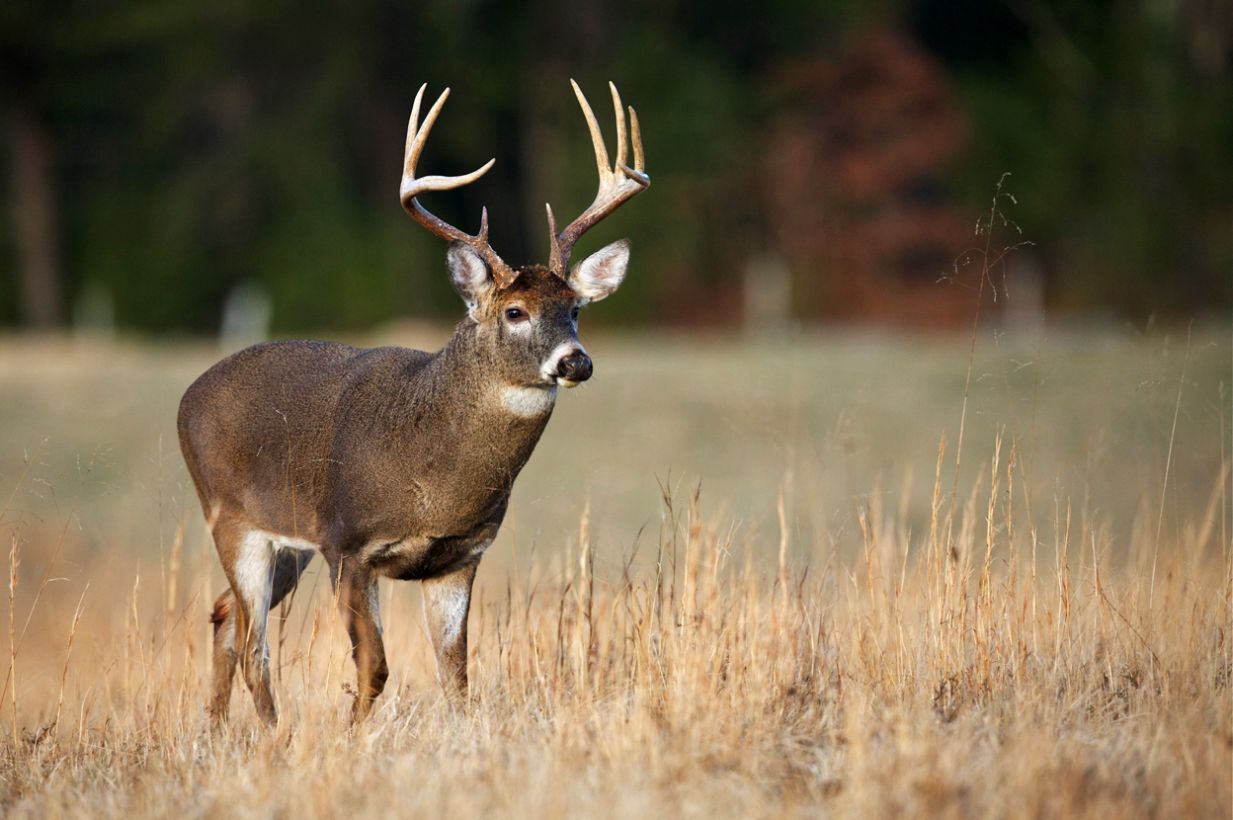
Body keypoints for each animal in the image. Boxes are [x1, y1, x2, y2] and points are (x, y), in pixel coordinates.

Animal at [177, 81, 651, 725]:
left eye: (575, 309)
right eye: (515, 311)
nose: (575, 362)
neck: (433, 480)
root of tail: (188, 397)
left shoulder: (459, 557)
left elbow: (457, 678)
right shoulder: (349, 544)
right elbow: (374, 667)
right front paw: (352, 736)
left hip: (286, 546)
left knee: (226, 615)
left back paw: (221, 729)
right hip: (231, 519)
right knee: (254, 644)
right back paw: (273, 735)